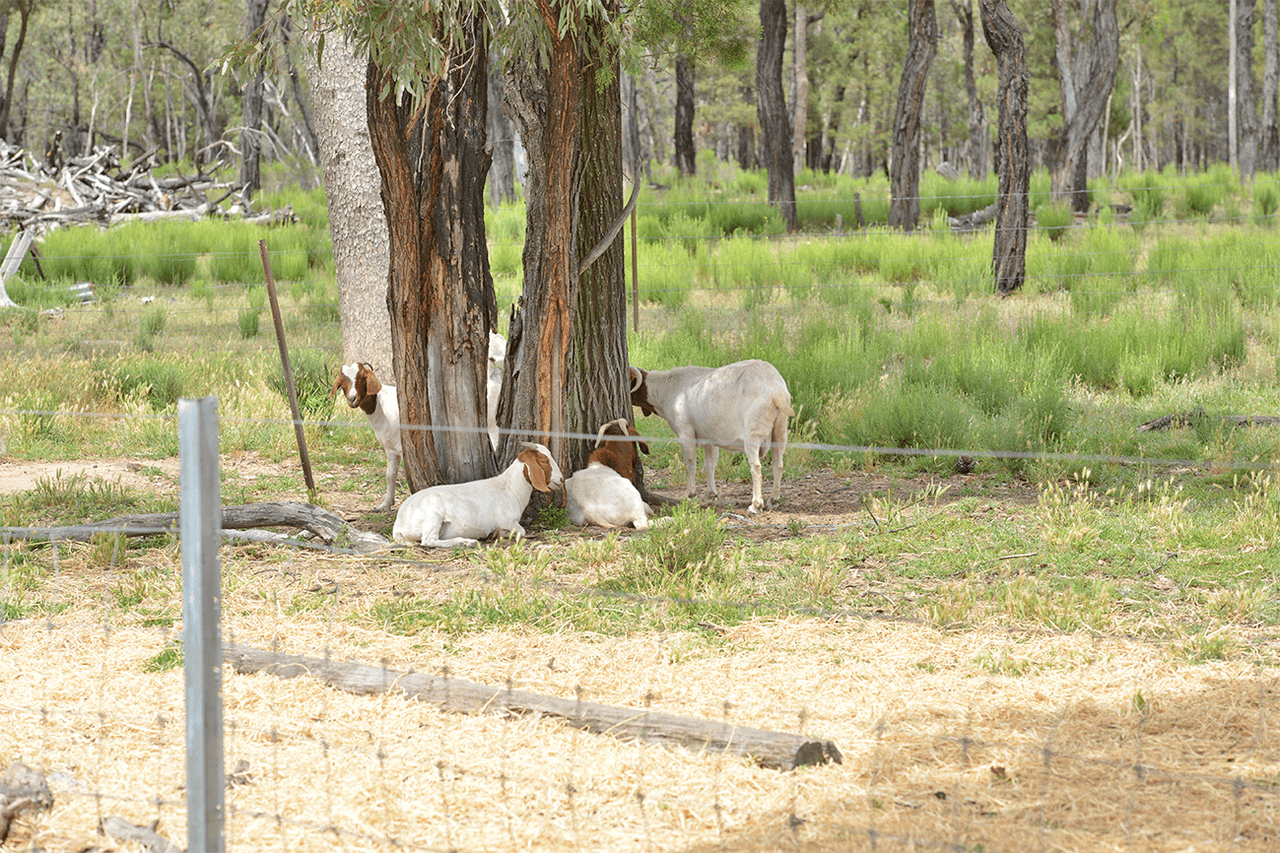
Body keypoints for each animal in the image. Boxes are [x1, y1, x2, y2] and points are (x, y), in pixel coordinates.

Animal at [330, 361, 399, 507]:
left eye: (362, 378)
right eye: (342, 382)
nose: (352, 399)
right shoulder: (391, 449)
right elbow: (390, 476)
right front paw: (385, 504)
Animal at [389, 438, 565, 545]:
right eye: (544, 461)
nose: (561, 479)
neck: (509, 489)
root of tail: (399, 523)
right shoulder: (507, 520)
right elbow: (521, 531)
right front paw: (499, 533)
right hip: (432, 515)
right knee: (429, 541)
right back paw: (466, 542)